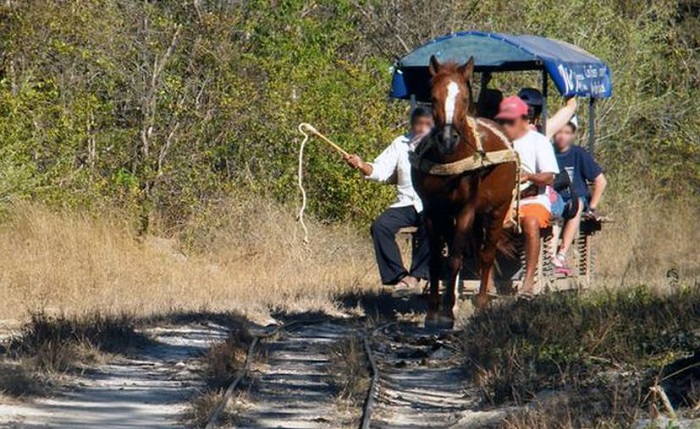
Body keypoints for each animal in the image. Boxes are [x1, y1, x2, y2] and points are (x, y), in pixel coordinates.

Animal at [410, 55, 520, 326]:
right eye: (433, 97)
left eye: (465, 98)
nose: (448, 138)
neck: (451, 160)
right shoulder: (433, 211)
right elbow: (436, 261)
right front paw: (433, 311)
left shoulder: (466, 210)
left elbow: (455, 259)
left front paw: (448, 312)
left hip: (497, 210)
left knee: (487, 253)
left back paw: (481, 301)